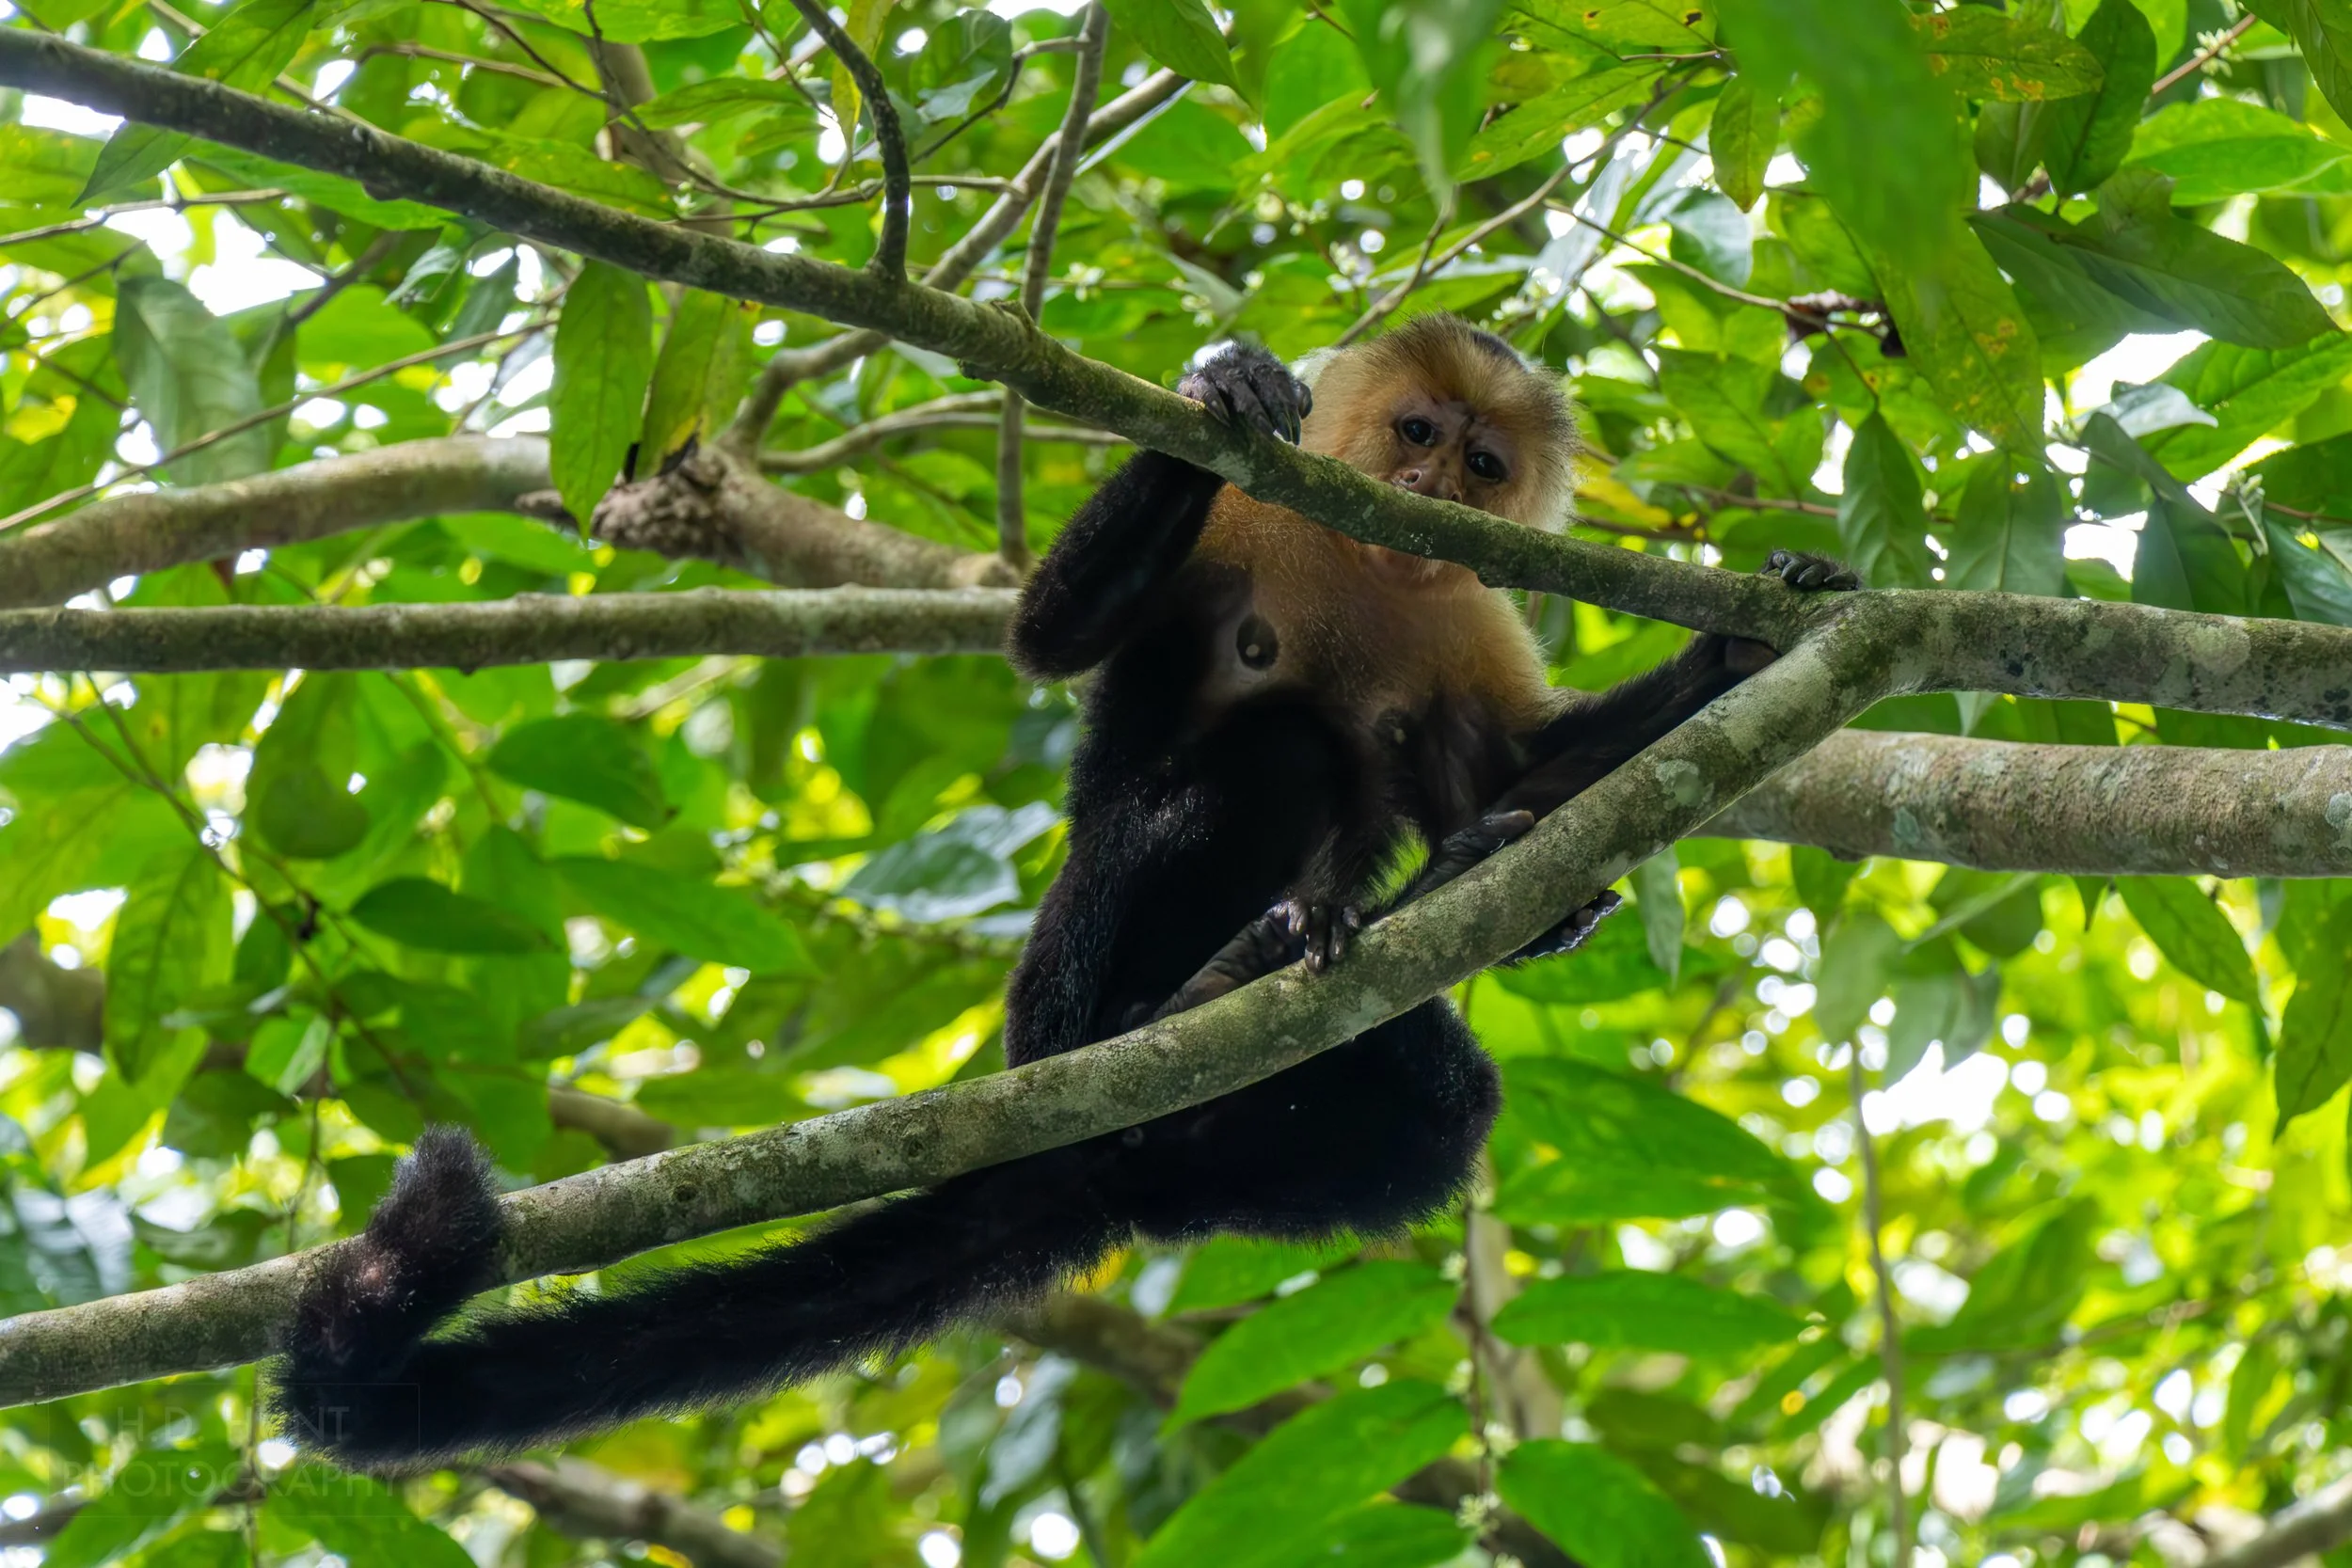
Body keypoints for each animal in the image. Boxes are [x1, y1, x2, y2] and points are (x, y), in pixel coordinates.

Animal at [271, 316, 1853, 1470]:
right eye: (1413, 434)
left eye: (1480, 462)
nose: (1426, 490)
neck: (1360, 563)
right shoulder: (1254, 538)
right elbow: (1050, 638)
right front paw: (1222, 392)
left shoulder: (1466, 608)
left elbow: (1516, 769)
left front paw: (1739, 645)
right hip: (1056, 981)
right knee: (1269, 760)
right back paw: (1185, 990)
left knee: (1432, 1099)